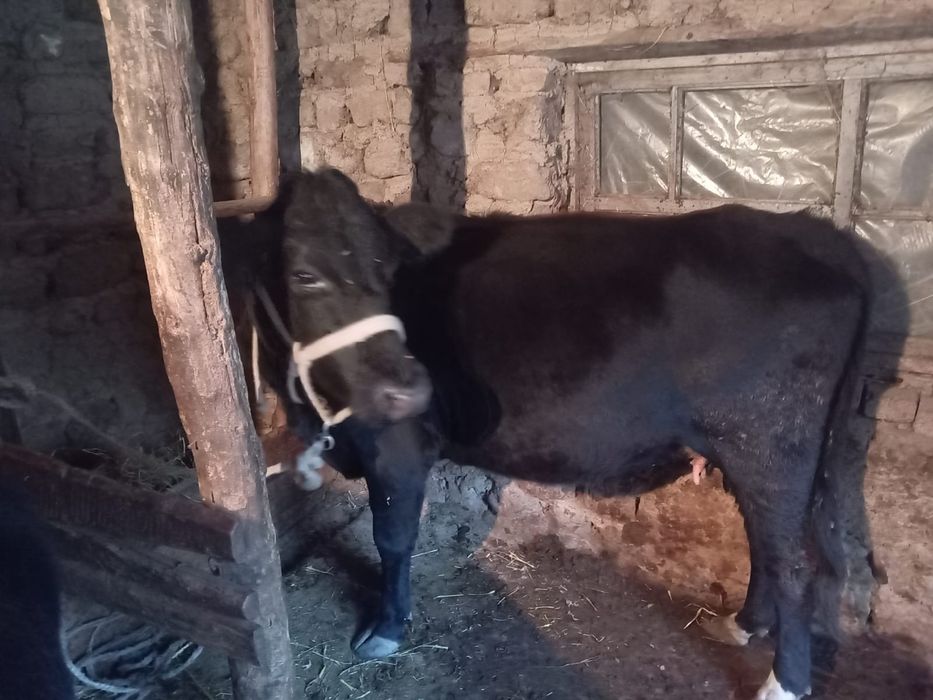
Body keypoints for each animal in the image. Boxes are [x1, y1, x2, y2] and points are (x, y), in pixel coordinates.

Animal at [223, 167, 888, 700]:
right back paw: (743, 625)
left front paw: (386, 629)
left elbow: (392, 538)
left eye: (388, 269)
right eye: (303, 275)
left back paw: (784, 683)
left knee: (793, 560)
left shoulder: (398, 445)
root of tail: (810, 233)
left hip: (773, 443)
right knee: (765, 542)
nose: (410, 390)